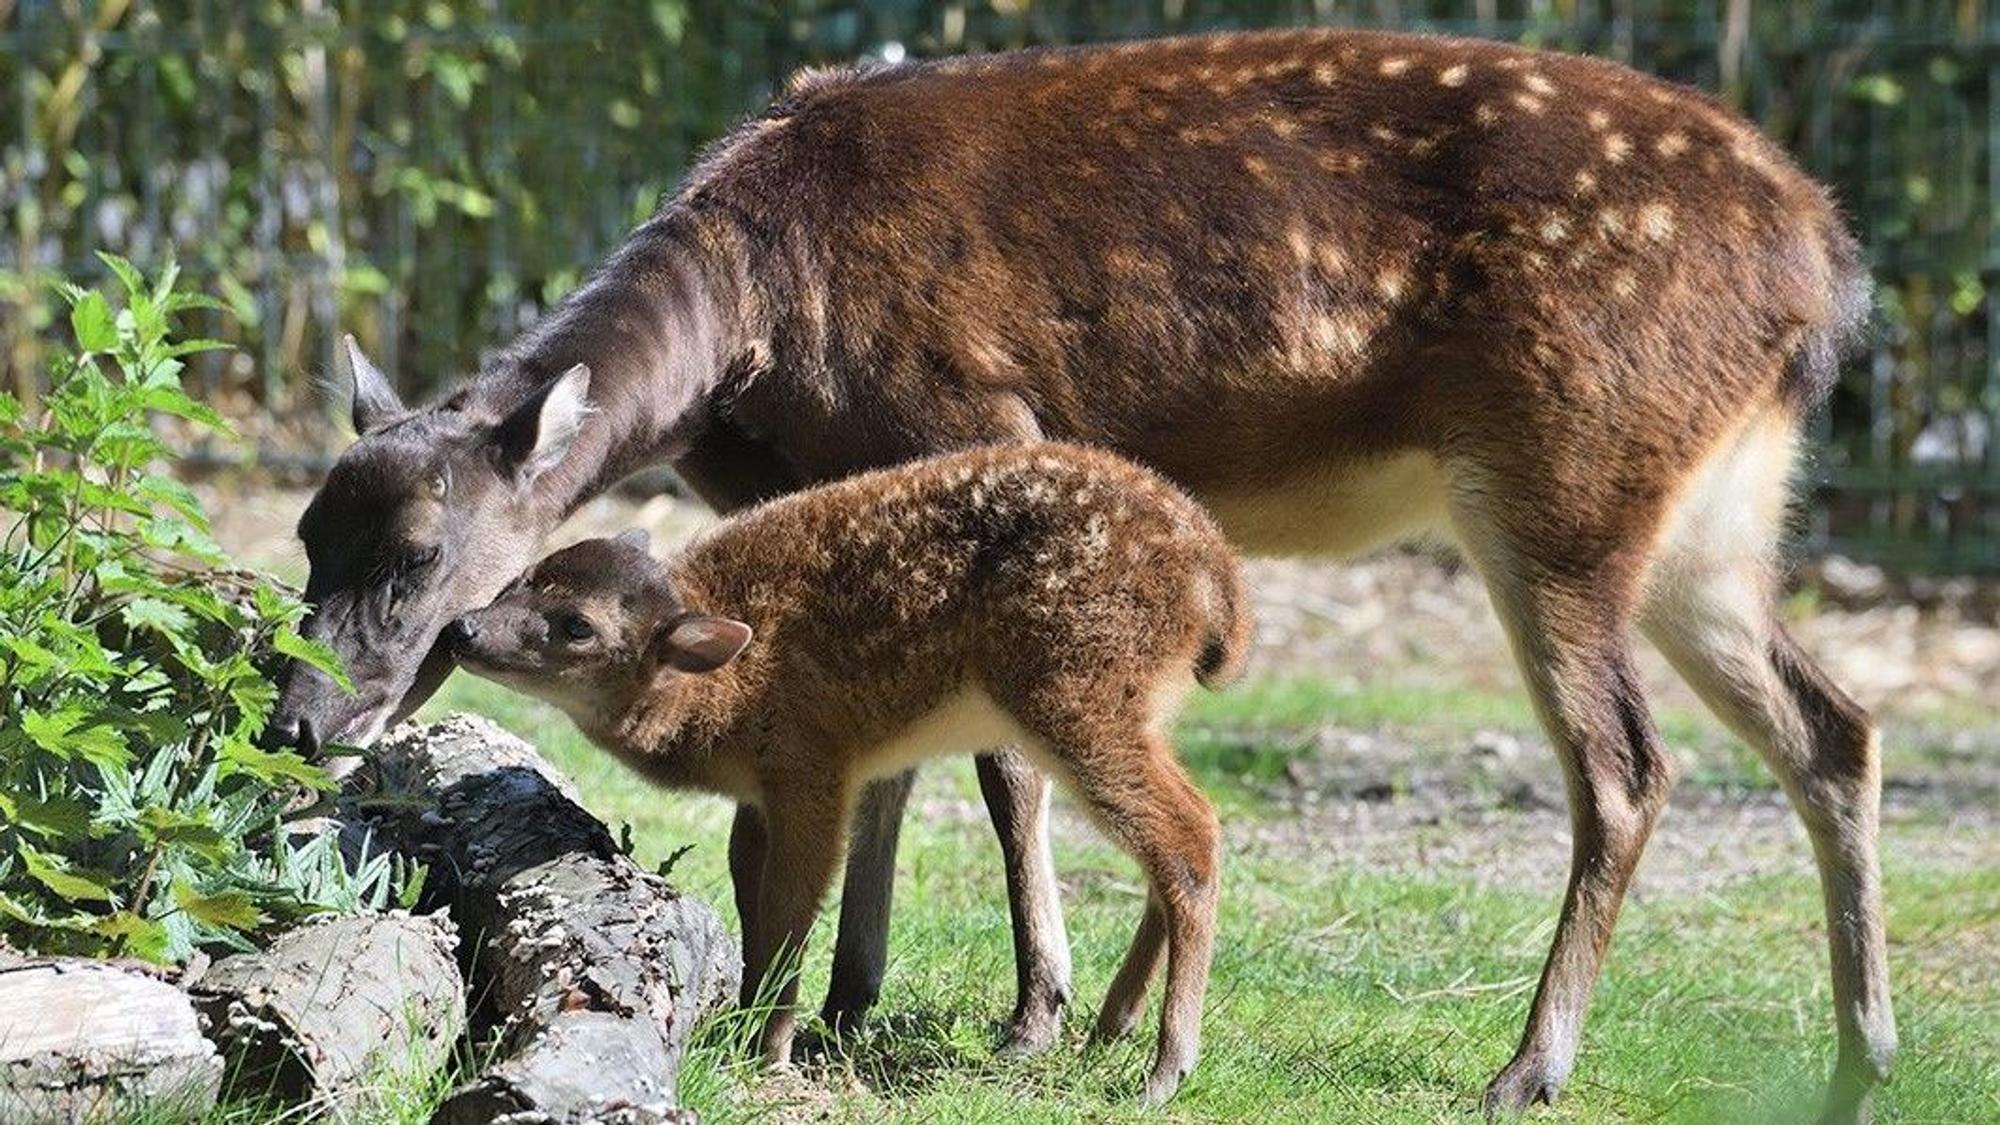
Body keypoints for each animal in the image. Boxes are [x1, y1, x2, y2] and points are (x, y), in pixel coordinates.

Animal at [444, 442, 1248, 1105]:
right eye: (528, 574)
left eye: (577, 625)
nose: (462, 628)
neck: (722, 683)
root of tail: (1216, 578)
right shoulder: (761, 794)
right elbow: (750, 890)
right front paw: (747, 1023)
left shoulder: (812, 767)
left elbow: (794, 903)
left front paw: (769, 1051)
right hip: (1131, 706)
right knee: (1176, 833)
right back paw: (1111, 1025)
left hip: (1077, 690)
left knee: (1189, 834)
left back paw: (1165, 1068)